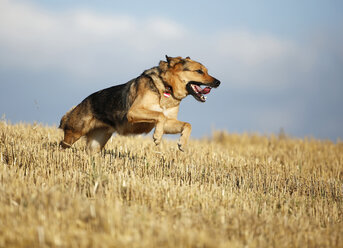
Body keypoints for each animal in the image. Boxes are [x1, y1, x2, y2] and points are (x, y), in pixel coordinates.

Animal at [58, 56, 220, 152]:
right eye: (199, 71)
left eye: (206, 71)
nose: (218, 82)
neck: (166, 86)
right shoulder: (134, 112)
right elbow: (159, 115)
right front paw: (157, 137)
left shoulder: (169, 122)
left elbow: (187, 124)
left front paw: (182, 143)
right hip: (74, 133)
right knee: (61, 144)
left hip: (96, 144)